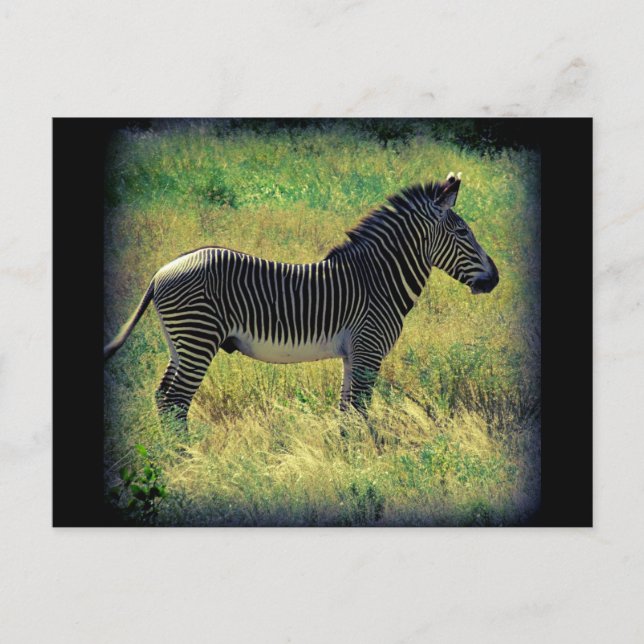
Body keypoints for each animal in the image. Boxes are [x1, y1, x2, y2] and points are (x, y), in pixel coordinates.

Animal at [104, 172, 499, 429]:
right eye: (463, 232)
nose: (495, 279)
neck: (379, 280)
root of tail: (161, 271)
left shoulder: (353, 354)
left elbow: (346, 411)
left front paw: (346, 457)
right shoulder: (369, 349)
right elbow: (360, 410)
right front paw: (364, 461)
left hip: (180, 342)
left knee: (163, 398)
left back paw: (172, 455)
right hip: (198, 339)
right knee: (175, 402)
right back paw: (187, 461)